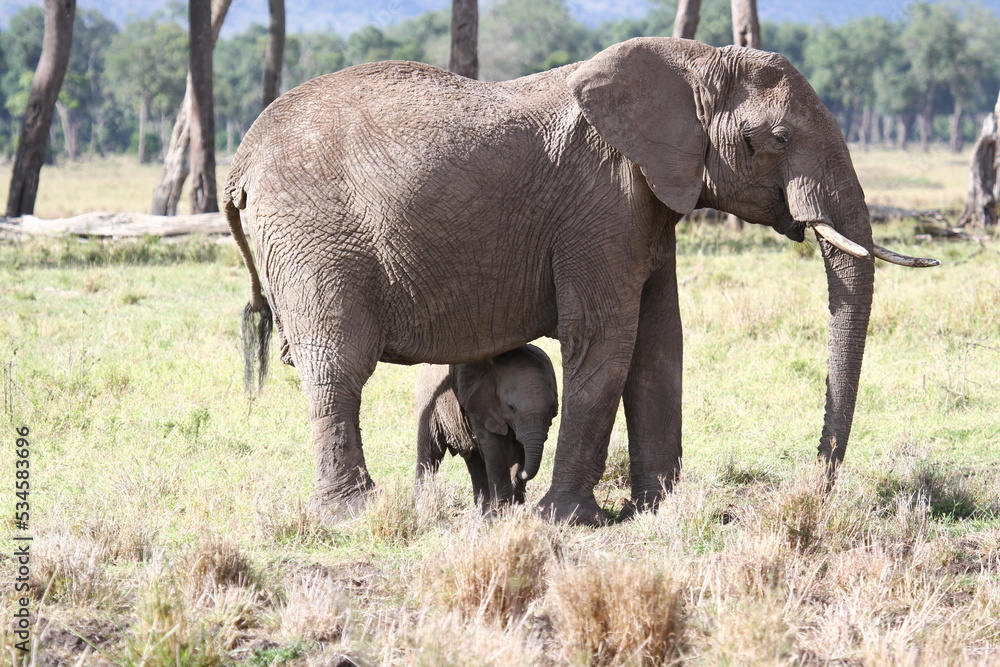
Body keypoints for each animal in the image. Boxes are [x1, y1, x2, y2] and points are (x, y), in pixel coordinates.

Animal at [412, 344, 560, 512]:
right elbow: (495, 448)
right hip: (429, 401)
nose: (522, 471)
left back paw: (484, 512)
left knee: (473, 458)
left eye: (551, 408)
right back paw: (421, 508)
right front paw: (504, 511)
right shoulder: (481, 403)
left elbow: (519, 449)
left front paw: (515, 509)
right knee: (430, 454)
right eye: (511, 407)